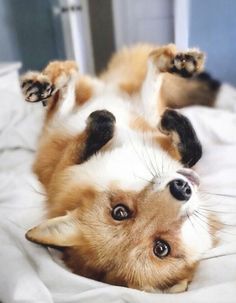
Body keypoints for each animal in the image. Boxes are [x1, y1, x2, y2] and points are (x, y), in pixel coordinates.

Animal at [21, 44, 220, 294]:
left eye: (161, 248)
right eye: (121, 212)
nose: (181, 189)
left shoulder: (160, 143)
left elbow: (193, 152)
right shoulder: (61, 172)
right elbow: (81, 143)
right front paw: (101, 124)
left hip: (141, 107)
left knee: (149, 67)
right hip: (65, 123)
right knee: (65, 95)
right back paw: (47, 83)